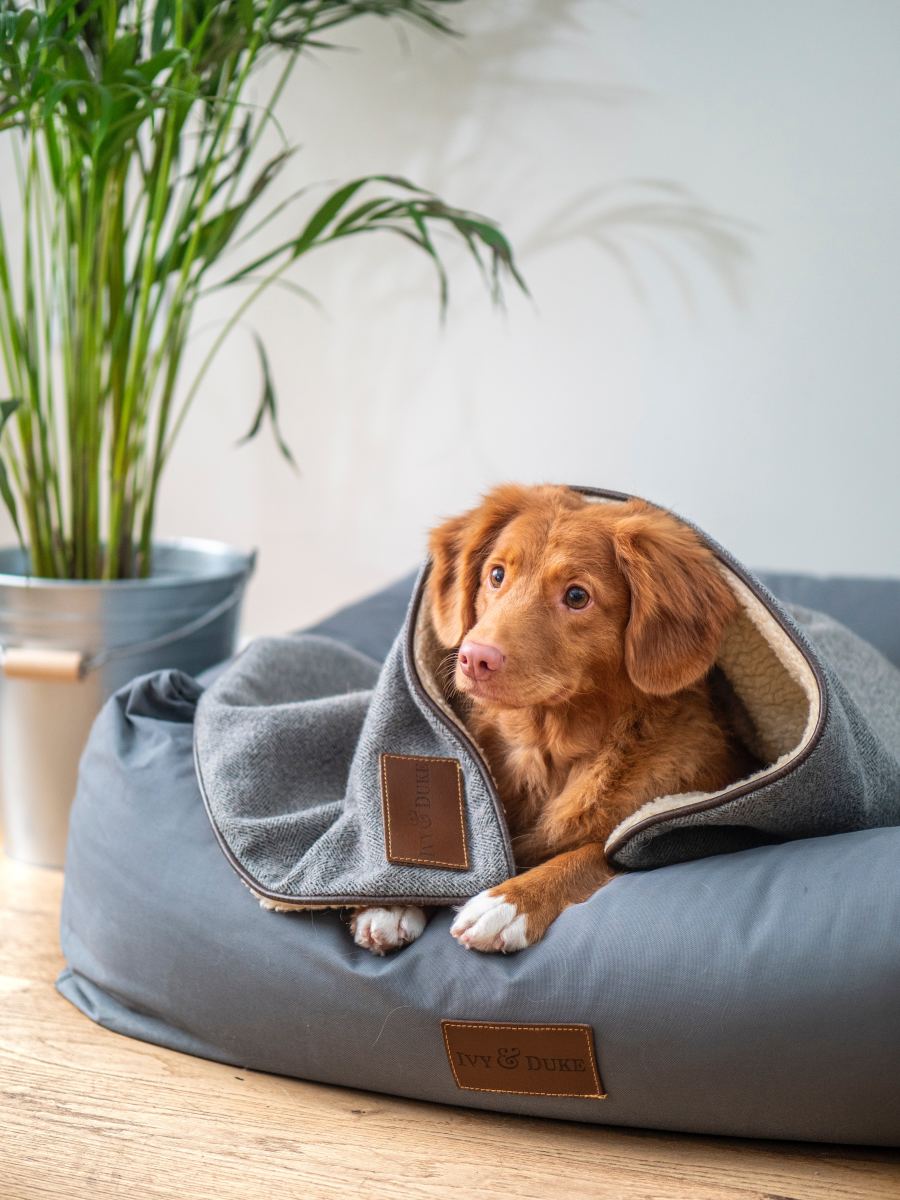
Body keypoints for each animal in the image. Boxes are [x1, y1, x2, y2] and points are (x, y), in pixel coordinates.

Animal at [348, 482, 748, 950]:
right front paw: (391, 900)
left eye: (577, 596)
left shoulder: (673, 829)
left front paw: (510, 901)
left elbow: (594, 852)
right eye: (496, 575)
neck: (547, 745)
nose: (474, 658)